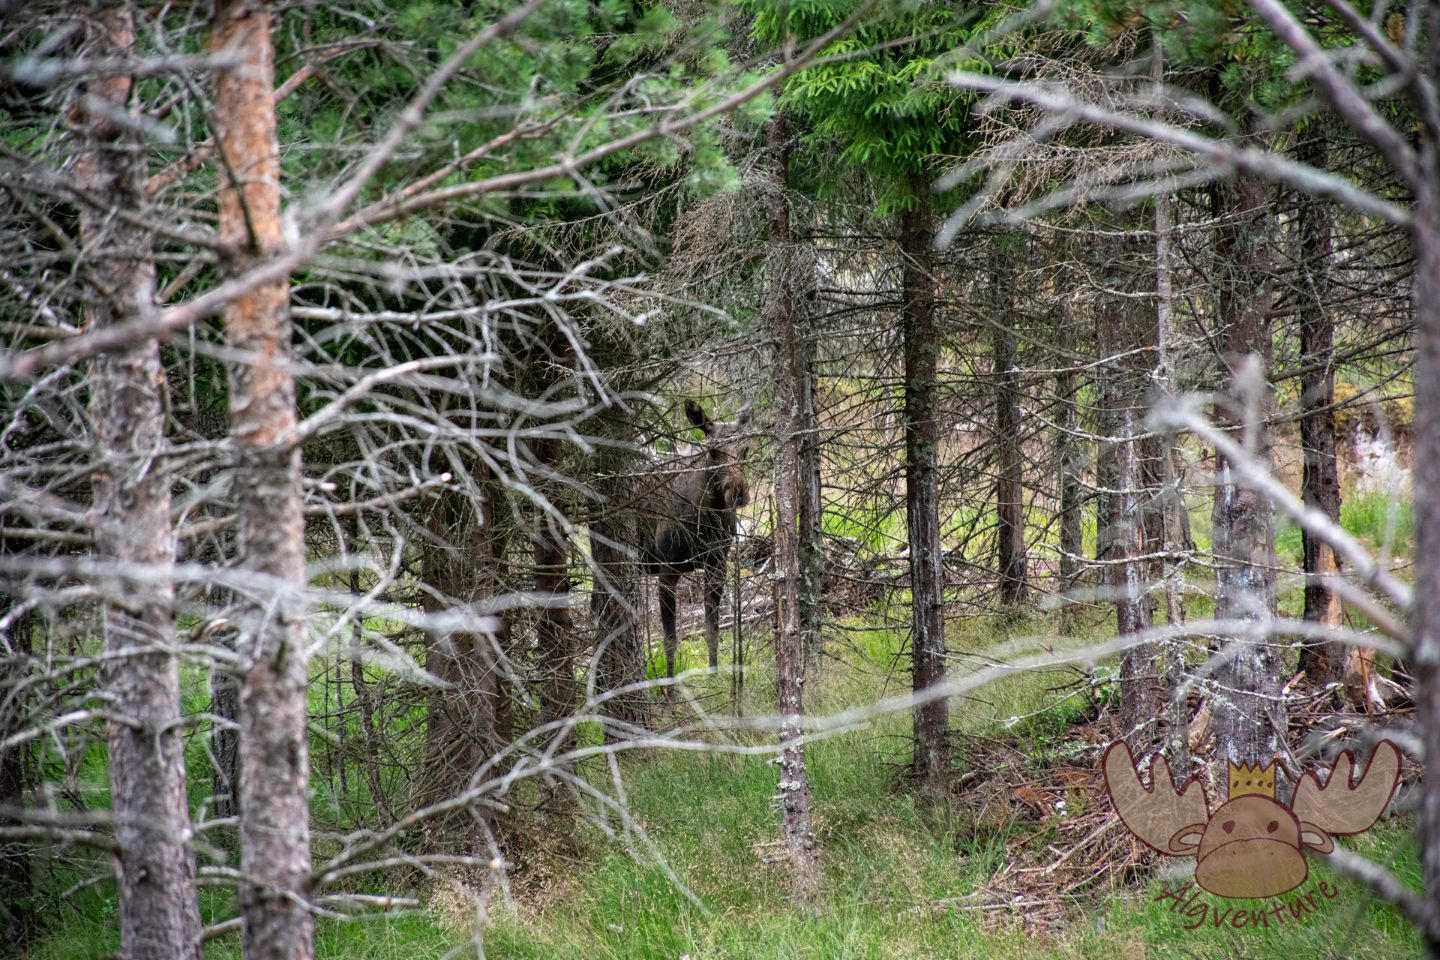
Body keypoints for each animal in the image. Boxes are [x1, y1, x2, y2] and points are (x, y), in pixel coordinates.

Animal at [637, 399, 751, 686]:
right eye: (713, 451)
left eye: (745, 449)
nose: (738, 492)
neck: (706, 517)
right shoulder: (667, 570)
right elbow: (669, 641)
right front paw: (669, 690)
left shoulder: (716, 566)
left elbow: (712, 631)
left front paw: (714, 677)